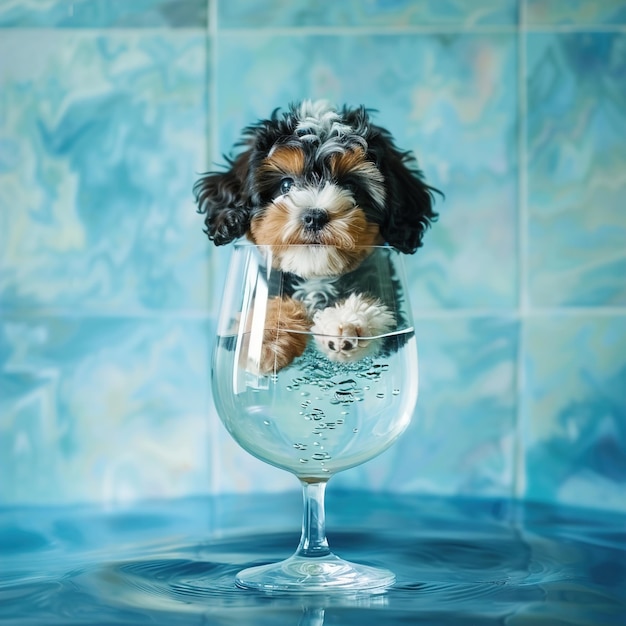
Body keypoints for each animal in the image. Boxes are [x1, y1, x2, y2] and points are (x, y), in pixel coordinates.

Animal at [195, 98, 438, 370]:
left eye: (350, 185)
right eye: (286, 185)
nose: (314, 216)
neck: (316, 276)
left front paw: (346, 322)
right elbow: (264, 304)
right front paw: (267, 336)